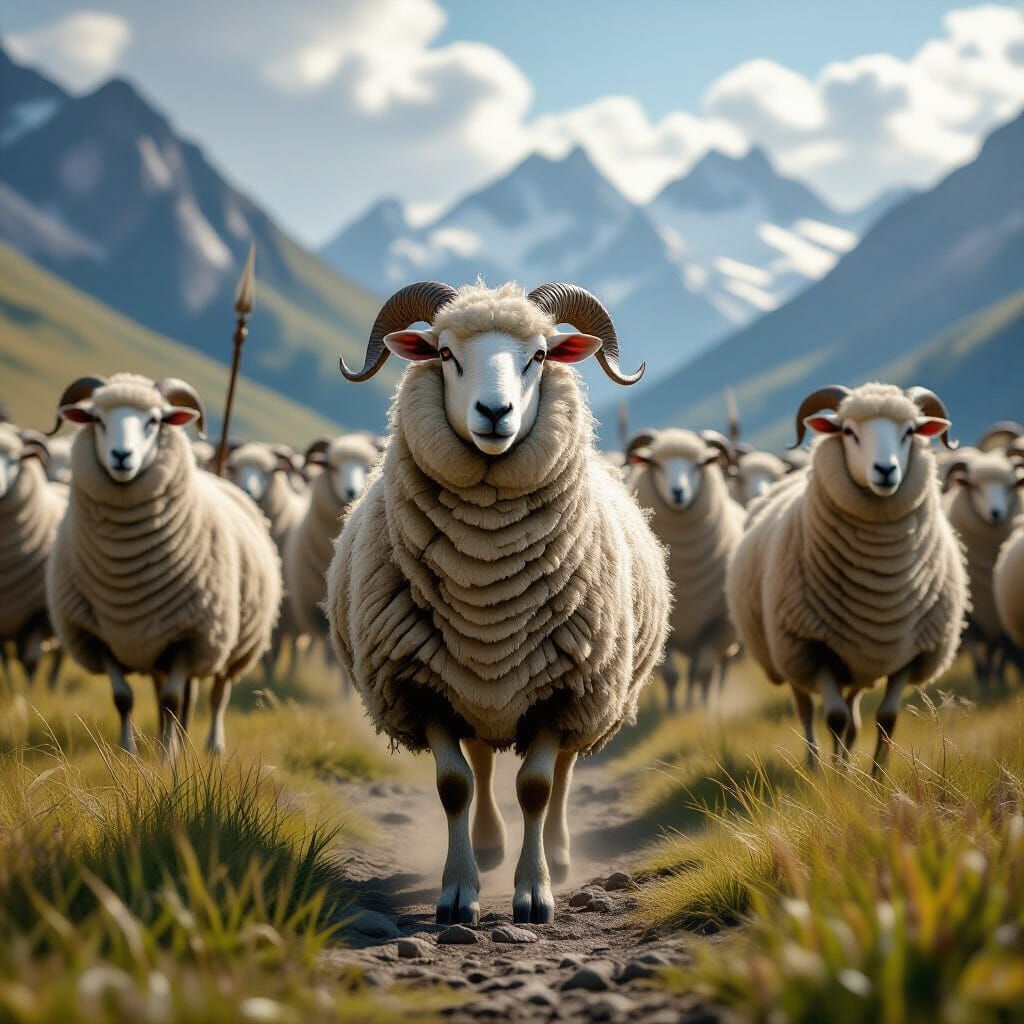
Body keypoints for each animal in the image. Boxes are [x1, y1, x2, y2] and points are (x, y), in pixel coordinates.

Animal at [46, 374, 282, 757]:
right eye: (97, 419)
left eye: (154, 421)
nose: (122, 456)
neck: (125, 564)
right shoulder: (98, 637)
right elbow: (124, 698)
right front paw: (129, 752)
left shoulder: (190, 636)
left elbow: (173, 700)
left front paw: (169, 757)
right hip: (156, 644)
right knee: (170, 694)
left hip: (234, 643)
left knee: (217, 694)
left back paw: (211, 746)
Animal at [326, 280, 670, 926]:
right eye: (444, 354)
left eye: (539, 355)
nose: (494, 413)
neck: (484, 571)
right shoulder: (421, 687)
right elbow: (454, 786)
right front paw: (459, 891)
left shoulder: (567, 690)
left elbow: (537, 787)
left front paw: (535, 892)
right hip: (473, 689)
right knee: (482, 763)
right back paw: (487, 846)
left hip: (588, 696)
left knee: (563, 772)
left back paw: (557, 854)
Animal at [625, 427, 743, 709]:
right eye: (654, 463)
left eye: (701, 464)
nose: (678, 492)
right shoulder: (661, 628)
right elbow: (672, 676)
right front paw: (672, 708)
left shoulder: (715, 624)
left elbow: (706, 672)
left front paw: (705, 708)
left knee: (714, 669)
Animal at [727, 382, 968, 775]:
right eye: (849, 432)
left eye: (909, 432)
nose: (885, 470)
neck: (881, 584)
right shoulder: (814, 647)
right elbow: (834, 719)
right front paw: (836, 780)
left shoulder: (910, 654)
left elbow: (886, 719)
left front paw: (876, 777)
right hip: (790, 656)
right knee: (808, 711)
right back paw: (814, 765)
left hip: (857, 659)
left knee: (854, 715)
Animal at [943, 449, 1022, 693]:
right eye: (974, 486)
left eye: (1011, 486)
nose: (996, 513)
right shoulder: (969, 613)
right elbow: (977, 655)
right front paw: (984, 685)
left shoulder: (1003, 617)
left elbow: (1002, 654)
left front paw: (999, 681)